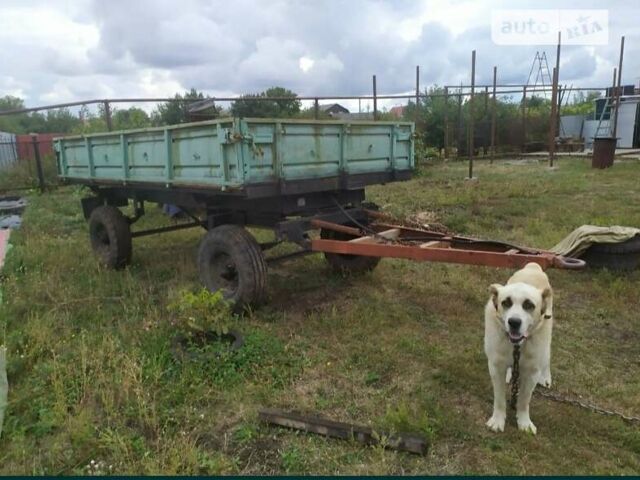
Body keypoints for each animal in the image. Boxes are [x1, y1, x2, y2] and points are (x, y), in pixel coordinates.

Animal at [482, 262, 552, 436]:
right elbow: (499, 398)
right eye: (506, 302)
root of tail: (533, 266)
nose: (514, 322)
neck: (517, 346)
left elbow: (524, 400)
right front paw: (497, 421)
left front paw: (524, 422)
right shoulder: (495, 367)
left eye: (529, 305)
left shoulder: (532, 372)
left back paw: (546, 377)